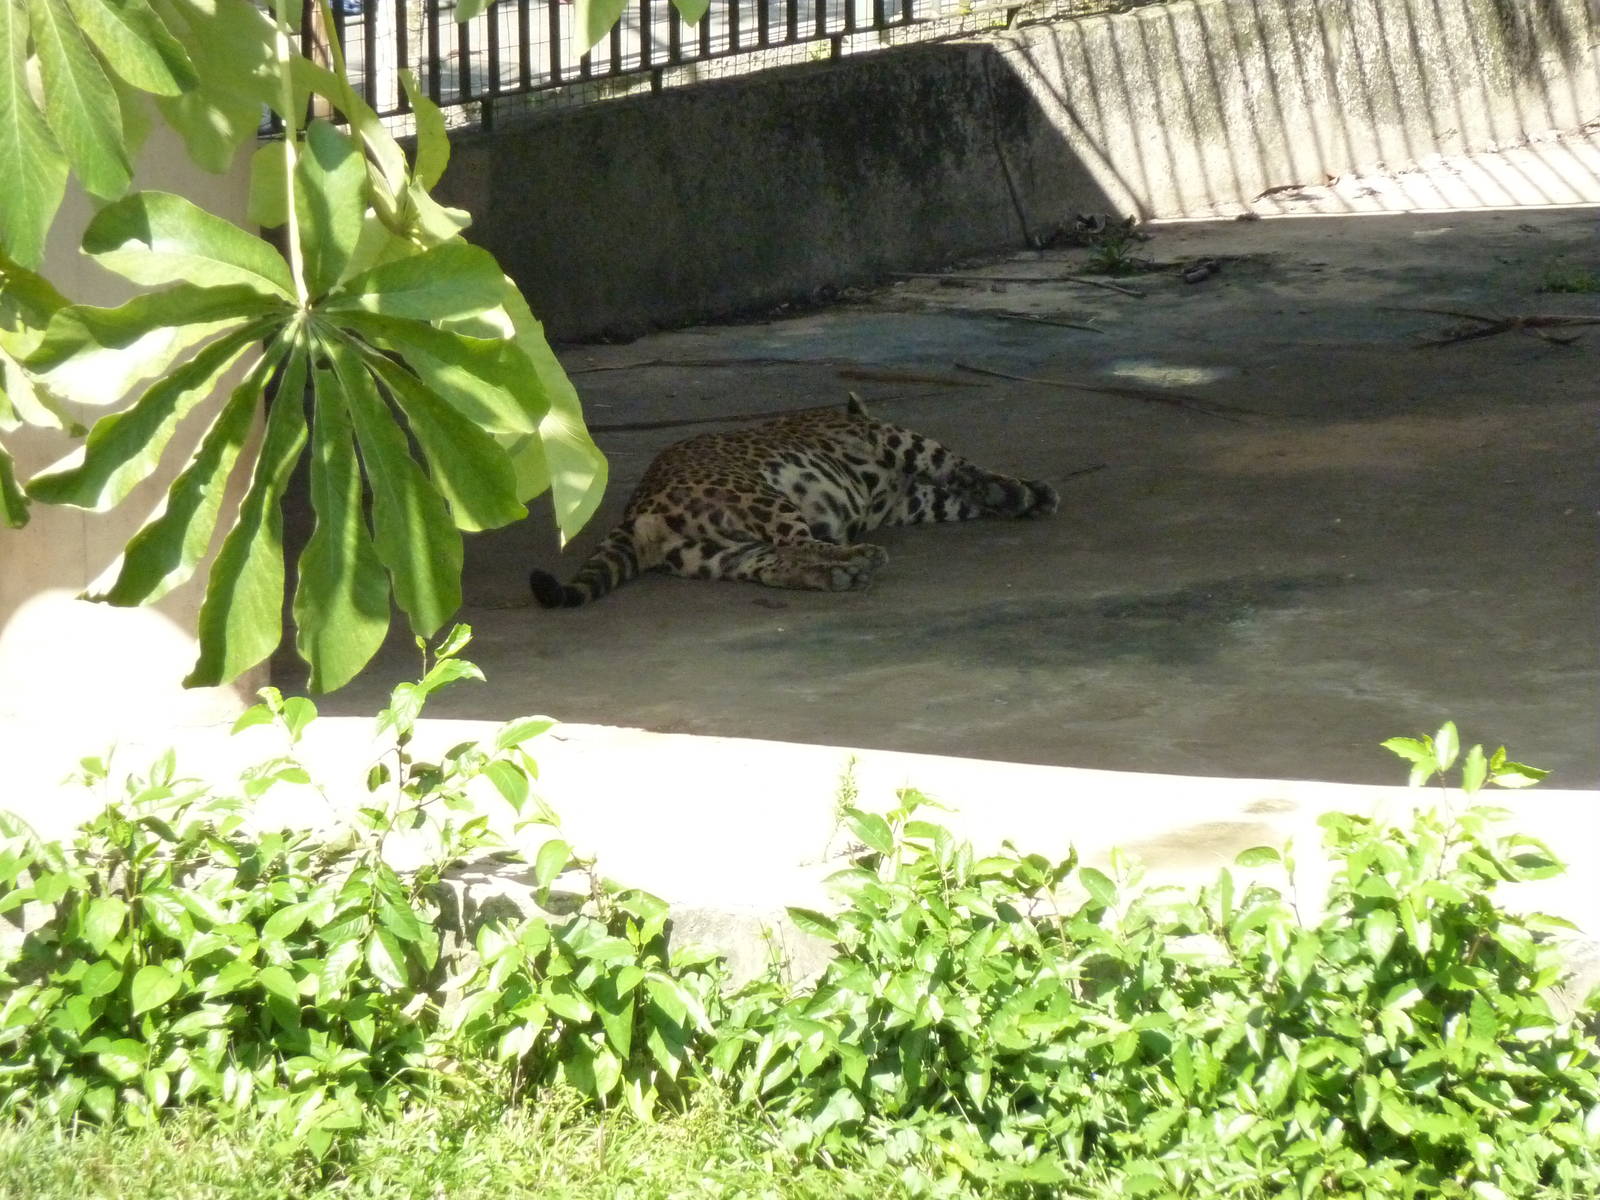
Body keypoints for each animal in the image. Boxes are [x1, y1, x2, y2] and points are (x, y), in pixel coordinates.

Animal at [528, 394, 1059, 608]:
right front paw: (1015, 489)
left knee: (775, 562)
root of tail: (636, 513)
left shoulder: (907, 502)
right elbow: (951, 463)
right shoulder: (888, 436)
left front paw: (1025, 494)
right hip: (762, 496)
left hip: (717, 552)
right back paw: (859, 558)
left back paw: (840, 573)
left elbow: (951, 496)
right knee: (800, 542)